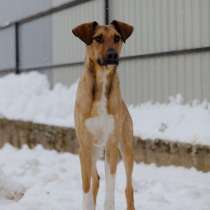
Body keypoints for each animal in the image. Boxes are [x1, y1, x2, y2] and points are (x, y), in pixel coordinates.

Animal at [72, 20, 135, 210]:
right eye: (98, 38)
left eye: (117, 38)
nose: (112, 55)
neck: (101, 81)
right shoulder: (84, 146)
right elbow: (87, 189)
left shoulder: (112, 143)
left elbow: (110, 187)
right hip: (93, 150)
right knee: (96, 180)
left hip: (126, 147)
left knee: (129, 189)